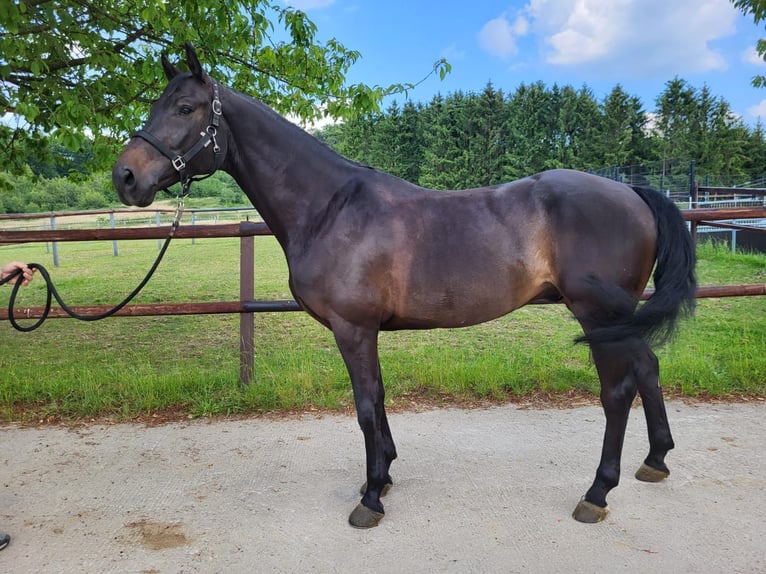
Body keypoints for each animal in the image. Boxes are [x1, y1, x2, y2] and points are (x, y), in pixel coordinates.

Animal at [112, 46, 696, 532]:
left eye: (185, 107)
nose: (125, 177)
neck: (330, 207)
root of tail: (633, 191)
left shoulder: (353, 329)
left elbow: (366, 405)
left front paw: (370, 498)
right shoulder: (366, 331)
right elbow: (380, 398)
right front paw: (385, 475)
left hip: (598, 316)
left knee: (617, 392)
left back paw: (597, 493)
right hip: (621, 318)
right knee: (649, 369)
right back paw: (656, 460)